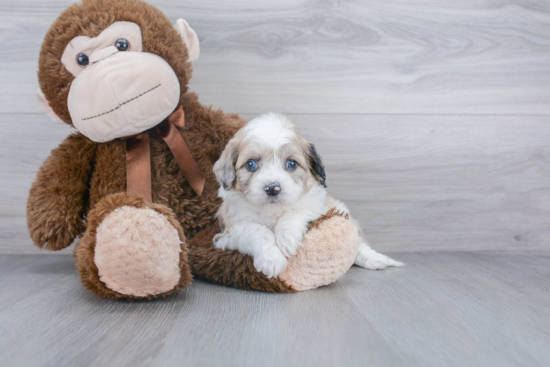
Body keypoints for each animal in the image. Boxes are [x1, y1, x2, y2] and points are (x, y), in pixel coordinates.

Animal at [213, 113, 404, 278]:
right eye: (251, 164)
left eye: (291, 163)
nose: (273, 188)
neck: (272, 210)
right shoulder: (228, 232)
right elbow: (257, 230)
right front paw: (271, 259)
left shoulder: (317, 206)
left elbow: (295, 212)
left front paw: (287, 239)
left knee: (358, 242)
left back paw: (374, 259)